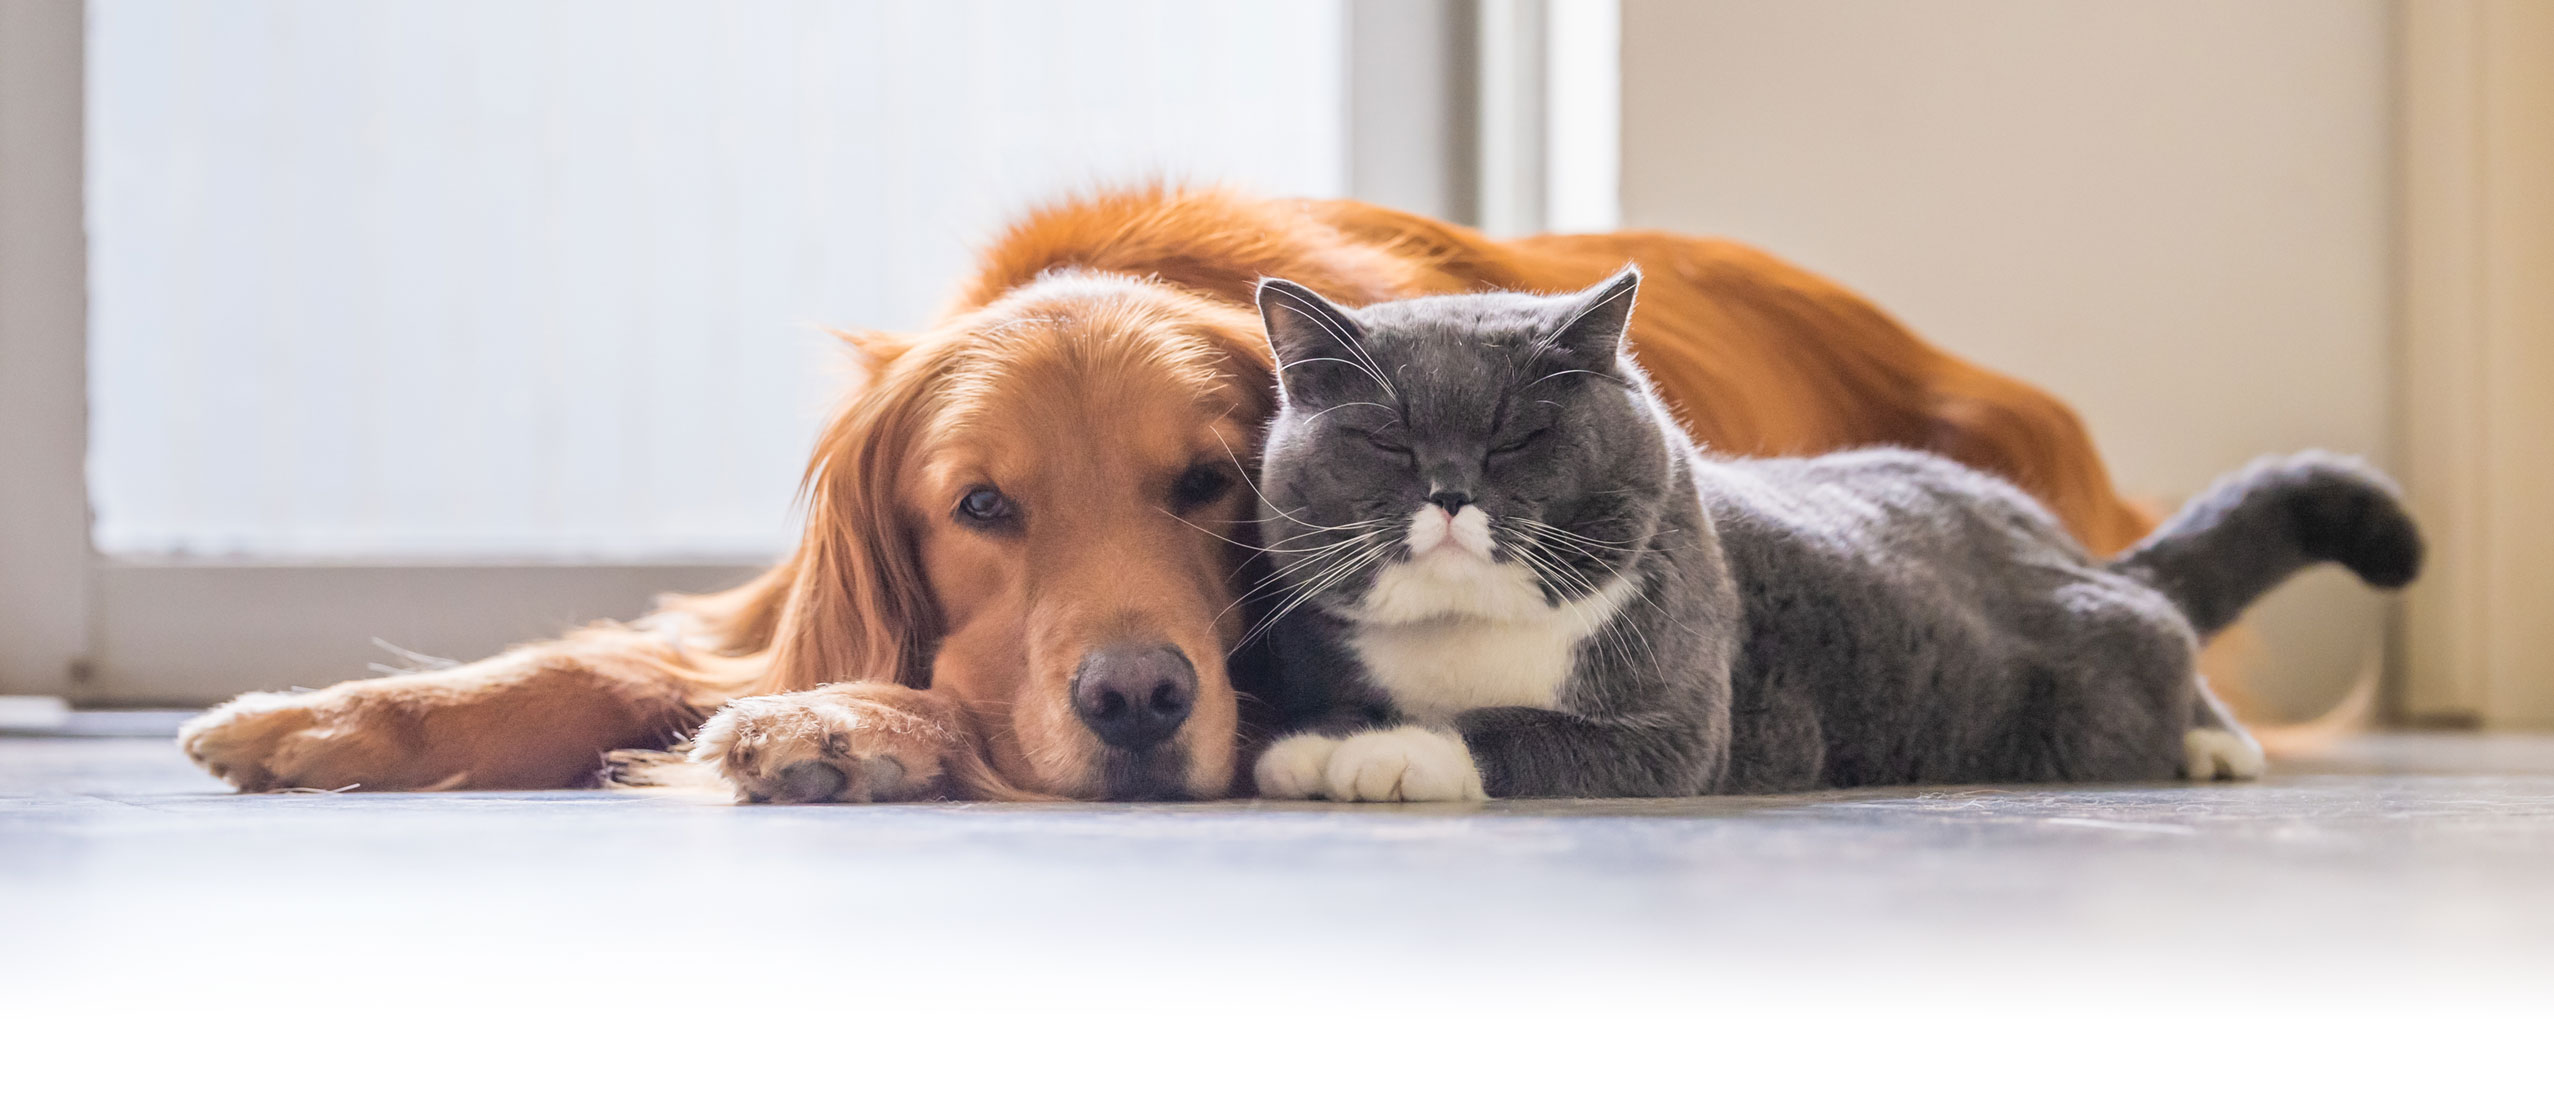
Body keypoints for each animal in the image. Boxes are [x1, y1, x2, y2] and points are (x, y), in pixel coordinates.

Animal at [1246, 270, 2421, 796]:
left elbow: (1509, 730)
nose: (1450, 492)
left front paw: (1373, 755)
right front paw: (1323, 736)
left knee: (2163, 631)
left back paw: (2216, 742)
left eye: (1519, 436)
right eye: (1388, 442)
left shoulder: (1676, 728)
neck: (1466, 636)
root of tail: (2058, 539)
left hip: (2095, 675)